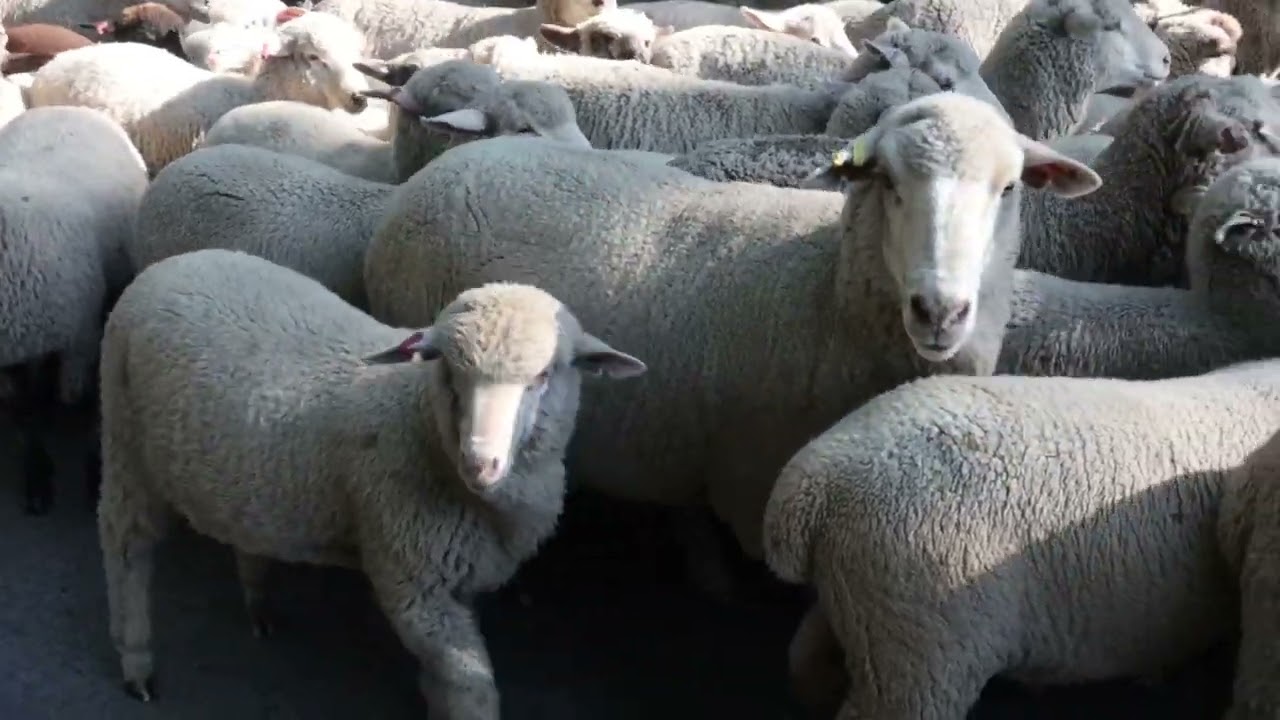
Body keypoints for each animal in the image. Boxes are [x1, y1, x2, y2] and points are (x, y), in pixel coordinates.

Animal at [97, 248, 646, 709]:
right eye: (449, 372)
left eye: (543, 376)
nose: (479, 462)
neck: (422, 424)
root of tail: (171, 262)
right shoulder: (413, 584)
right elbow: (470, 689)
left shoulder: (458, 579)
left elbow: (443, 679)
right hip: (124, 439)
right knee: (126, 549)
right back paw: (135, 659)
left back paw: (258, 602)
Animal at [361, 92, 1102, 592]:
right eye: (887, 180)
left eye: (1010, 187)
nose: (939, 310)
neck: (825, 290)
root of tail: (452, 161)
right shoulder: (753, 490)